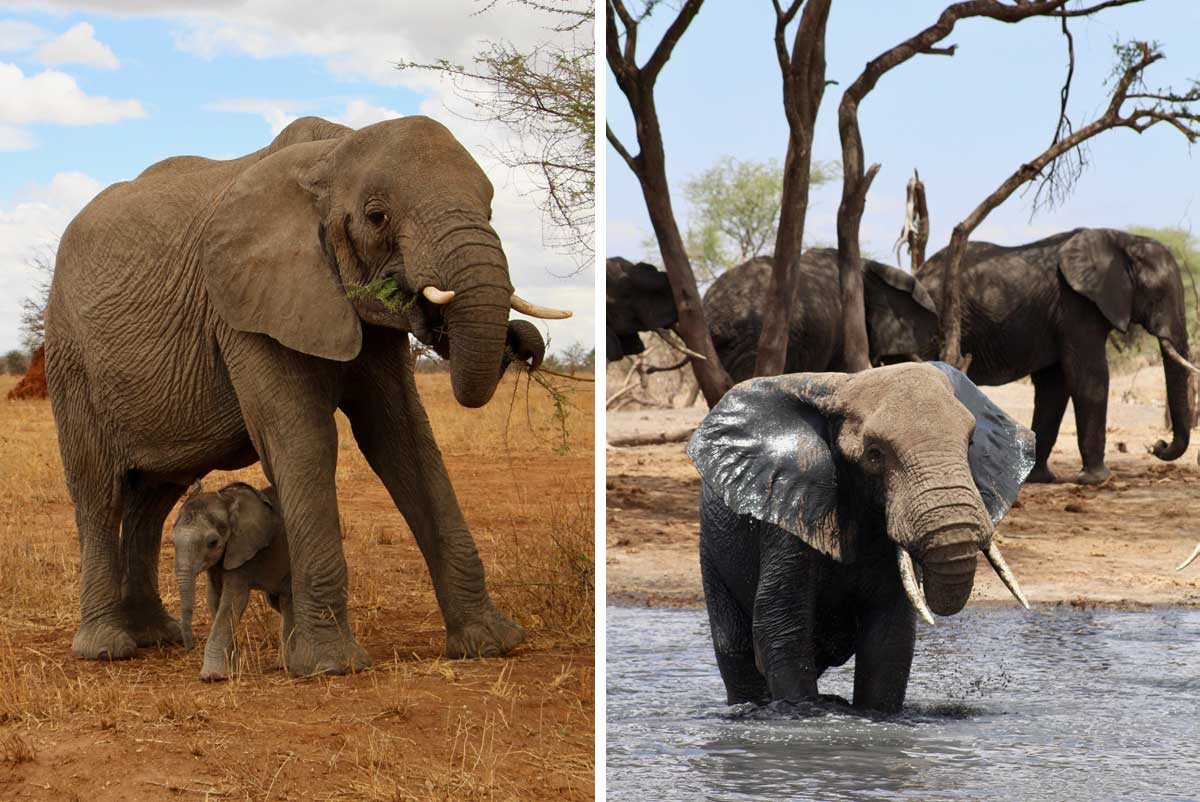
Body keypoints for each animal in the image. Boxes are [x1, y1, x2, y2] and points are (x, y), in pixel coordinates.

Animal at [172, 482, 291, 681]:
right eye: (172, 542)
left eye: (212, 543)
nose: (189, 647)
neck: (227, 501)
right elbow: (214, 599)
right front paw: (231, 670)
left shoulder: (242, 551)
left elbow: (233, 601)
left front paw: (212, 677)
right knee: (279, 602)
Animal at [687, 362, 1033, 713]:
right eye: (875, 454)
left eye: (971, 444)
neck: (842, 387)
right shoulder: (790, 512)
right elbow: (781, 627)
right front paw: (803, 713)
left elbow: (889, 637)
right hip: (713, 548)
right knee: (735, 651)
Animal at [916, 228, 1195, 484]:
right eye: (1158, 294)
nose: (1158, 445)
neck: (1122, 239)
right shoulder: (1076, 306)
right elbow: (1089, 379)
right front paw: (1098, 479)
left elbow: (1054, 389)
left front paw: (1038, 478)